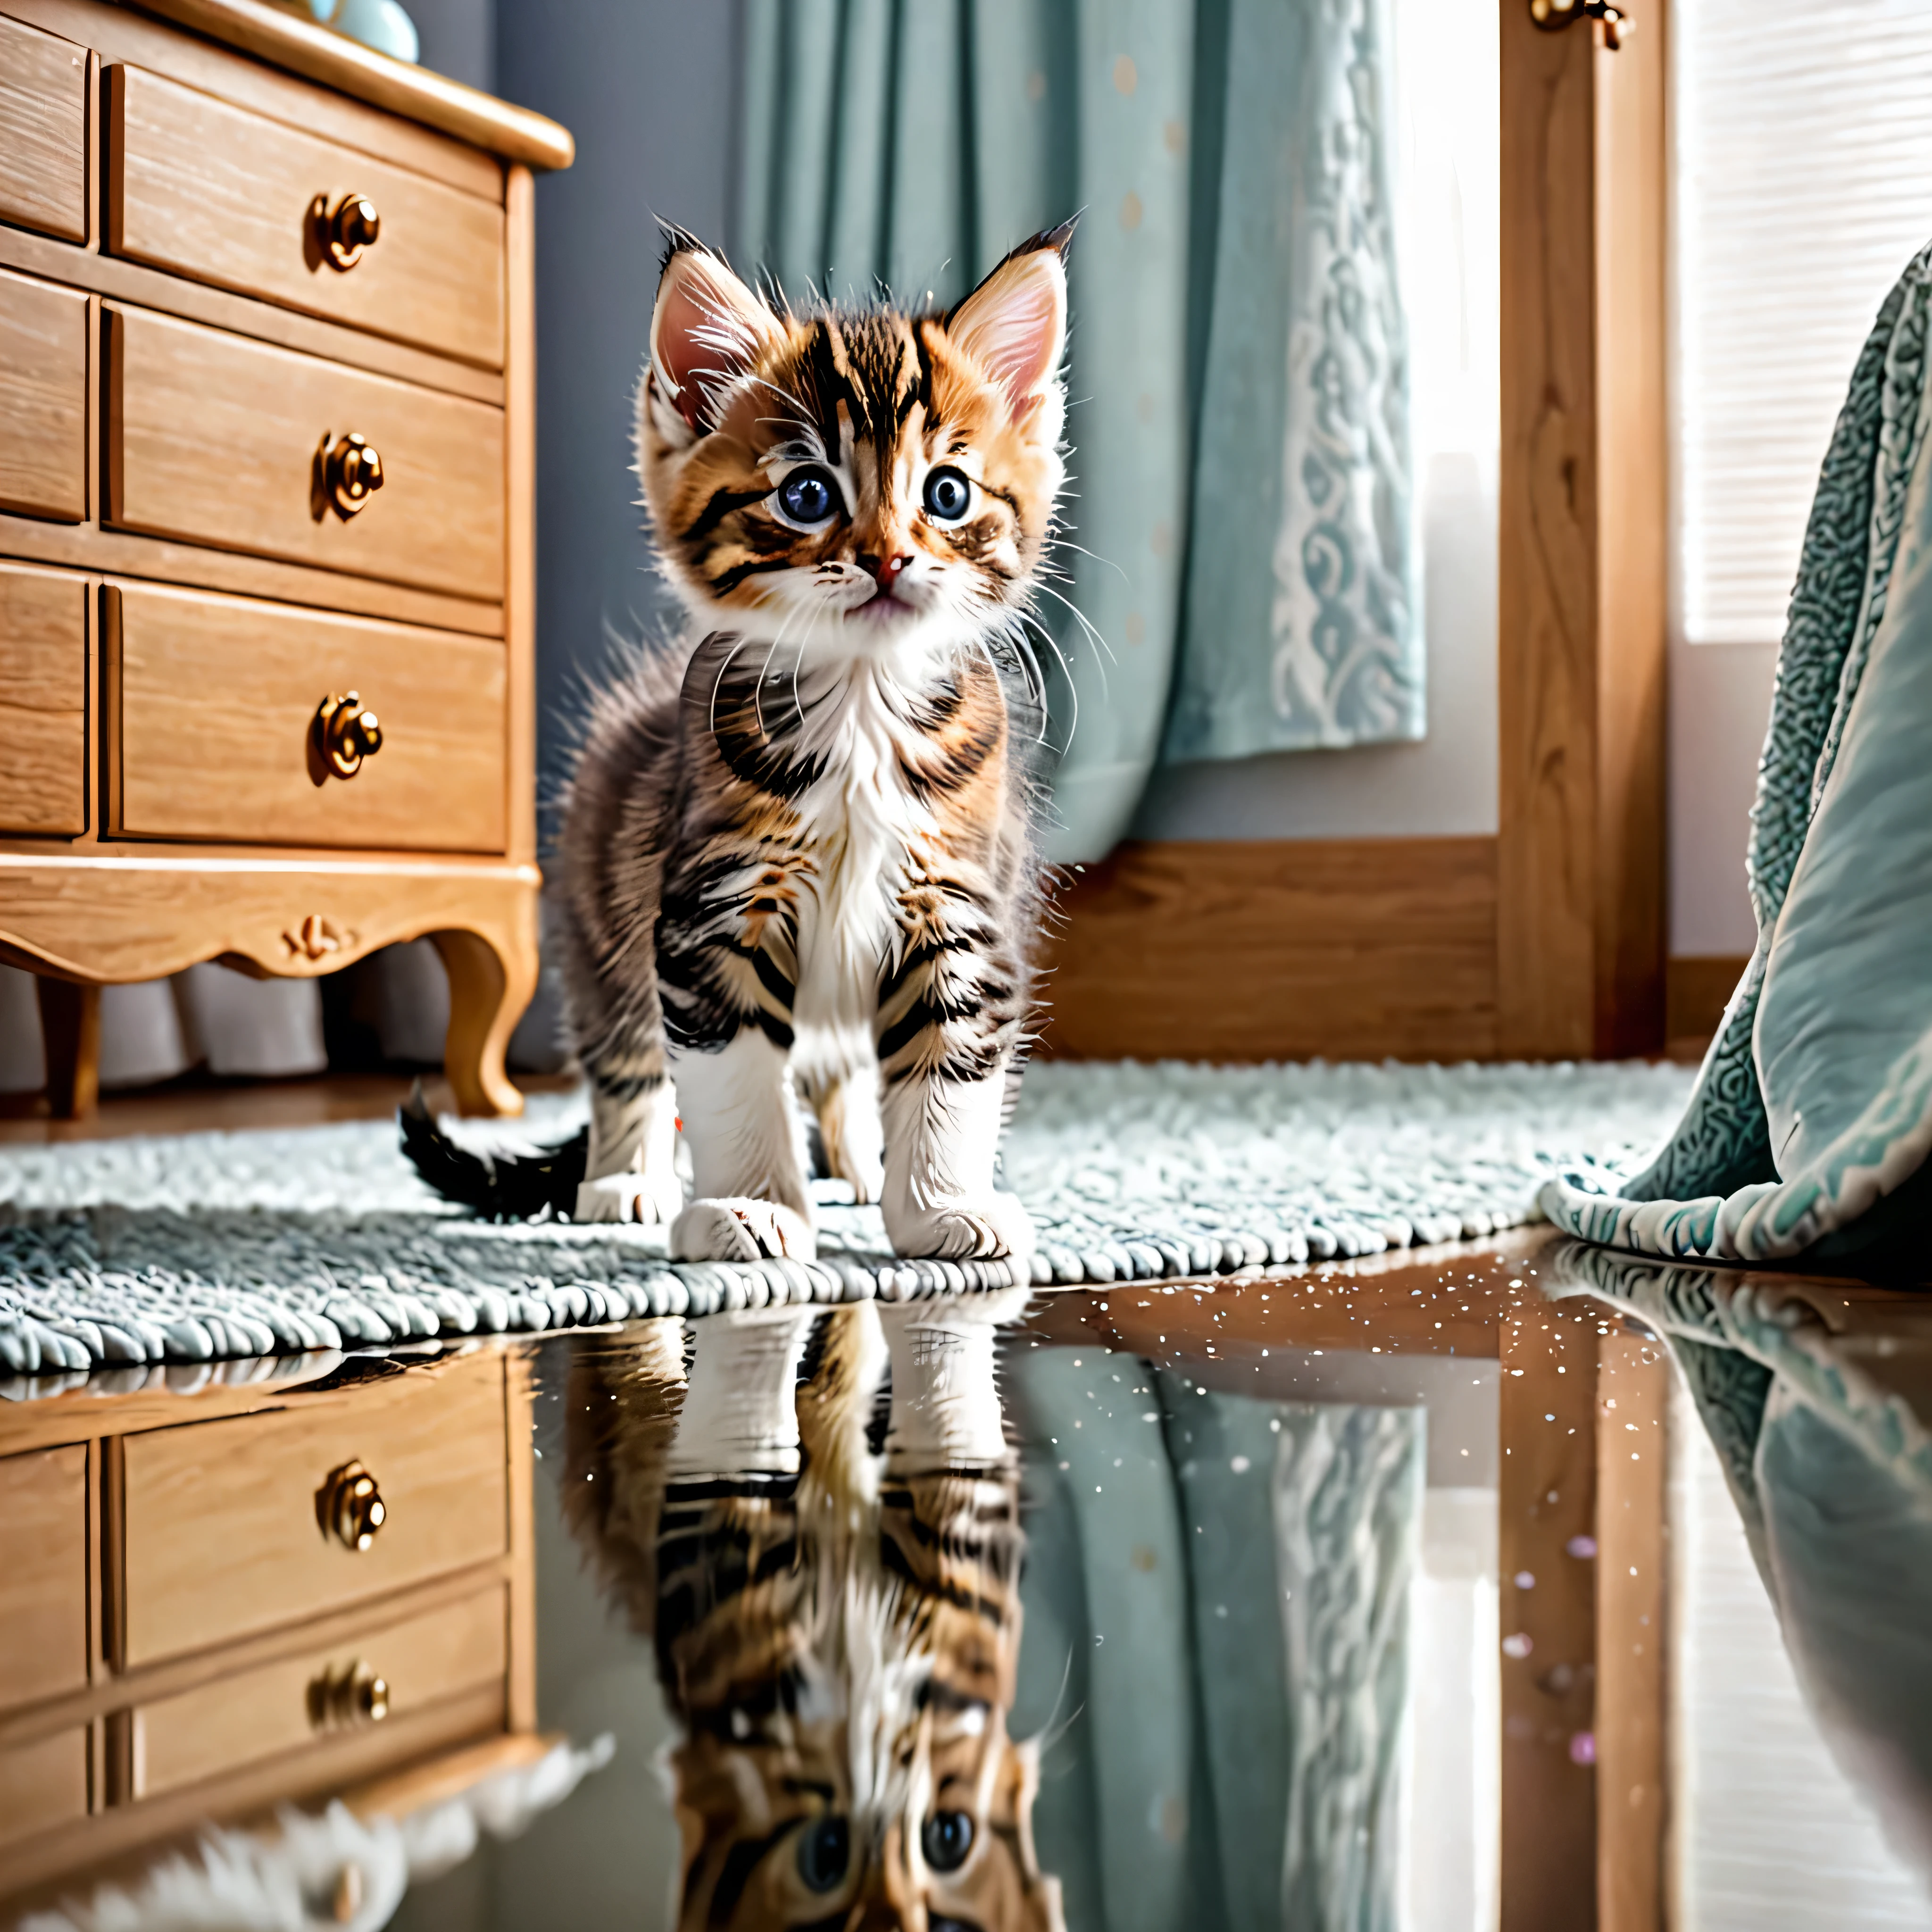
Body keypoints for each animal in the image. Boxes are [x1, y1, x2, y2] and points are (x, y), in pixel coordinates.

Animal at [549, 222, 1074, 1267]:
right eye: (805, 493)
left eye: (946, 493)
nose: (887, 557)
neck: (862, 709)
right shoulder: (712, 905)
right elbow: (732, 1070)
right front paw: (750, 1207)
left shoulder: (959, 898)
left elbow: (949, 1064)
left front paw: (940, 1205)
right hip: (599, 912)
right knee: (626, 1056)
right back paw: (628, 1178)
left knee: (839, 1067)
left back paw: (862, 1162)